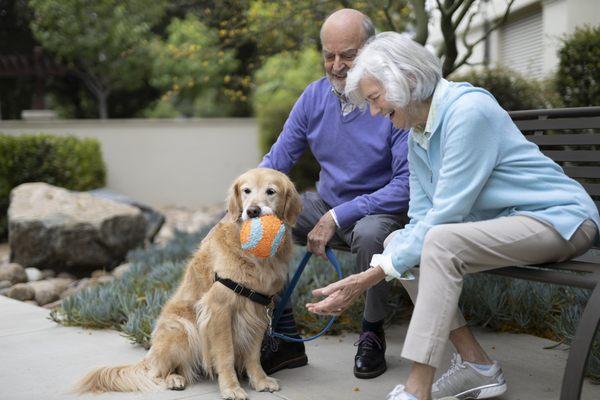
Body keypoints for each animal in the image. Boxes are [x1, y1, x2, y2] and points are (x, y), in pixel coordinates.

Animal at [74, 169, 302, 400]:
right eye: (246, 191)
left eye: (271, 191)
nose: (252, 211)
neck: (253, 258)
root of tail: (151, 352)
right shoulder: (218, 310)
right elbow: (226, 354)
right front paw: (231, 388)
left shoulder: (258, 310)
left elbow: (253, 354)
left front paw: (260, 380)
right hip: (183, 330)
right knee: (158, 372)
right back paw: (173, 379)